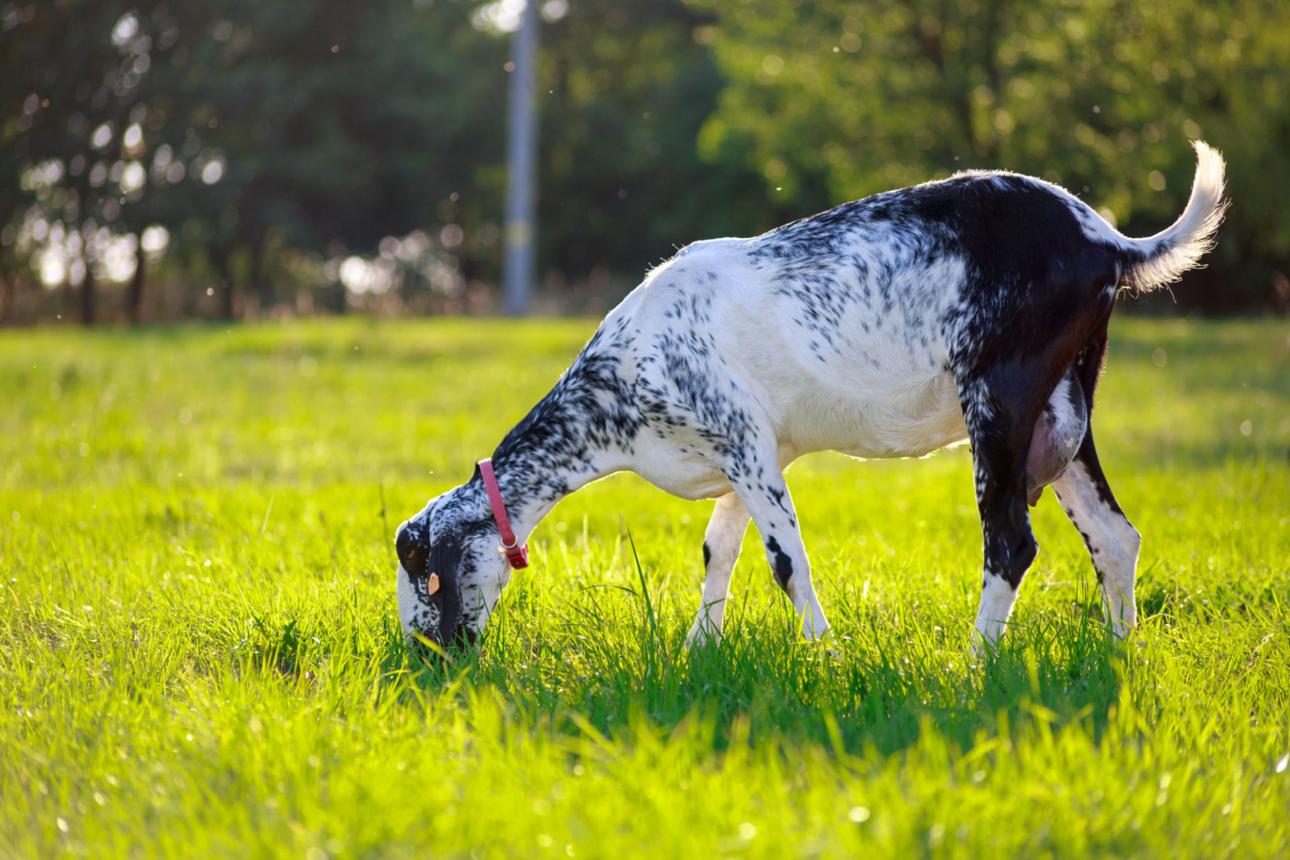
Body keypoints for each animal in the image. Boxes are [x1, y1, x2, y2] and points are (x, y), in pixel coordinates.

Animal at [396, 141, 1226, 656]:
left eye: (424, 571)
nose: (427, 654)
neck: (623, 375)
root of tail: (1104, 241)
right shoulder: (749, 456)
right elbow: (719, 550)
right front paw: (700, 649)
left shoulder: (745, 446)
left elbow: (786, 563)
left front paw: (826, 654)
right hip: (1061, 413)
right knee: (1116, 537)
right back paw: (1120, 653)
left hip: (1001, 399)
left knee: (1011, 544)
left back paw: (972, 664)